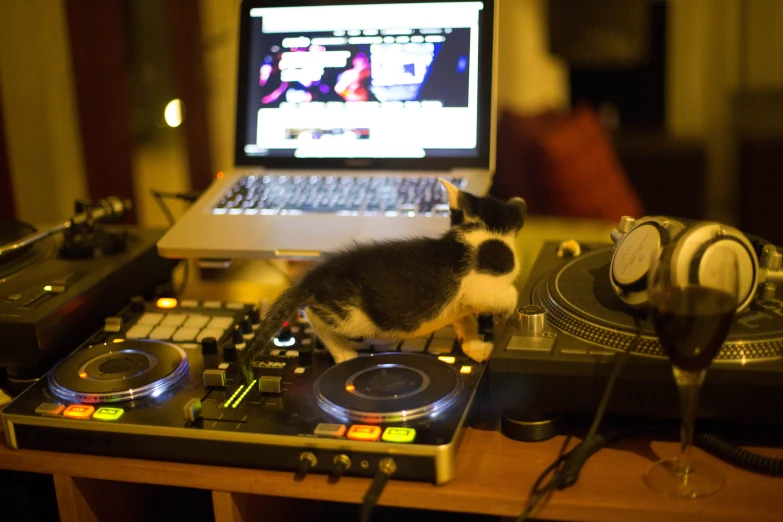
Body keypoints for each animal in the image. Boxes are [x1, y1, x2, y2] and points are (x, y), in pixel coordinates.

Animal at [239, 180, 528, 382]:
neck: (482, 232)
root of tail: (317, 274)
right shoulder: (481, 284)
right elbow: (506, 294)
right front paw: (508, 312)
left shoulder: (461, 301)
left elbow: (465, 320)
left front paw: (475, 346)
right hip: (355, 316)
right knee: (312, 314)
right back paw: (343, 352)